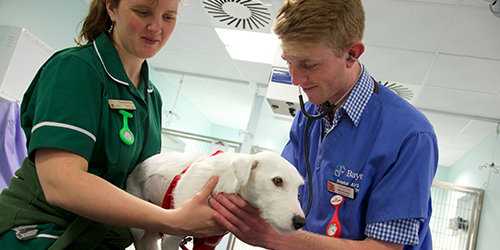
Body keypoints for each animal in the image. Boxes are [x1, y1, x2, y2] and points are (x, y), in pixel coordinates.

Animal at [126, 150, 304, 250]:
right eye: (277, 181)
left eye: (298, 191)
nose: (301, 222)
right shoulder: (172, 237)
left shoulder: (208, 243)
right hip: (139, 227)